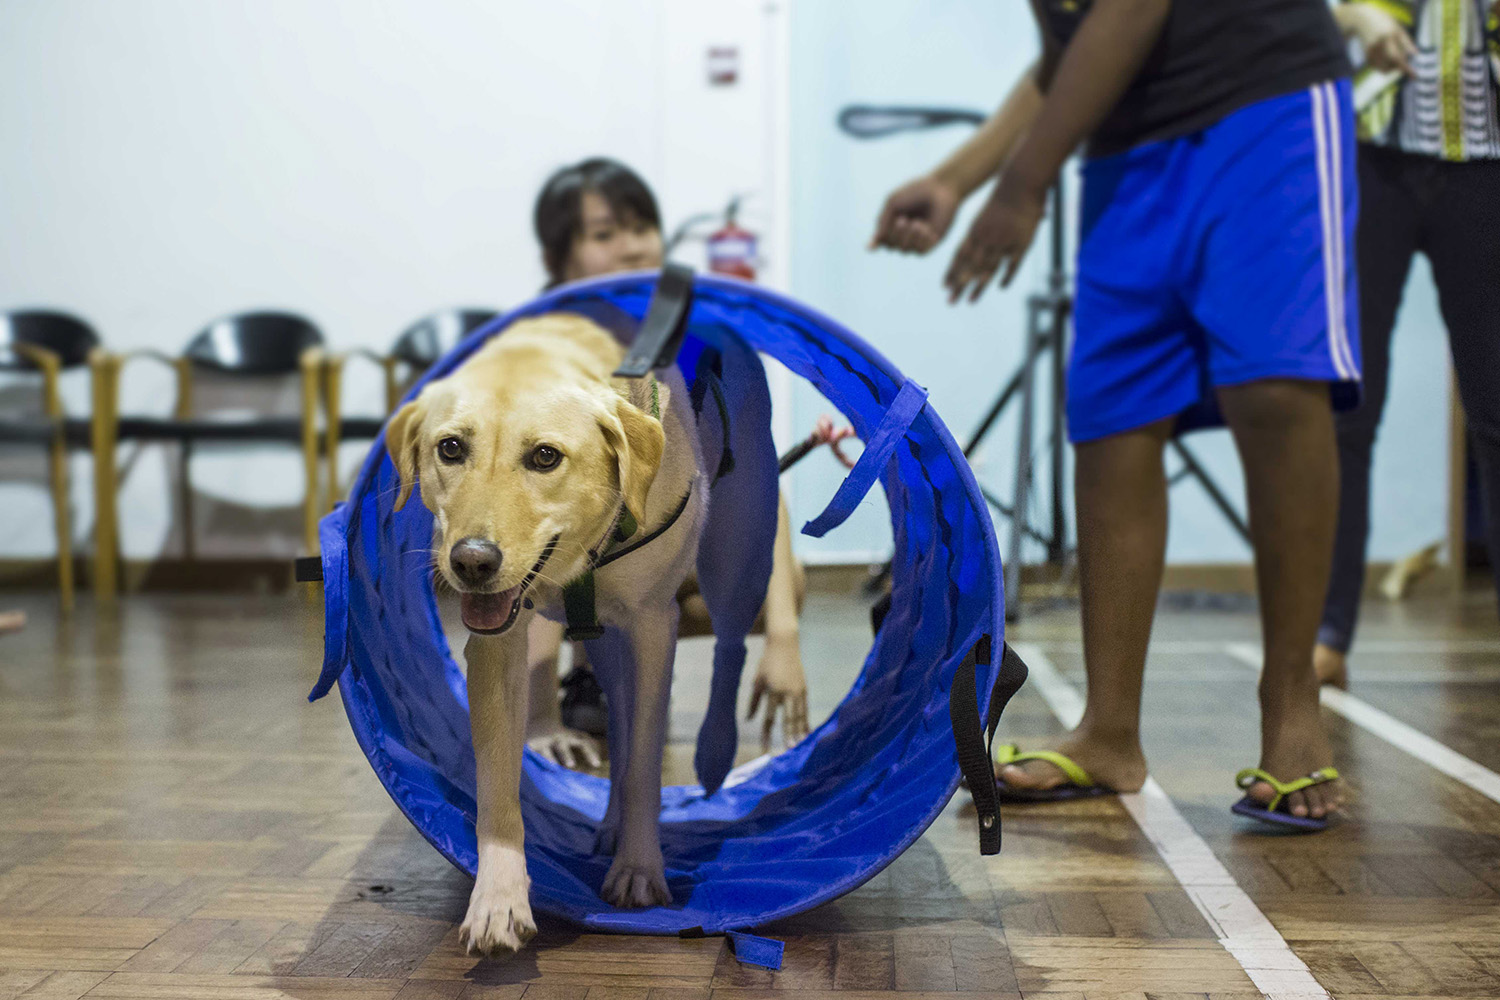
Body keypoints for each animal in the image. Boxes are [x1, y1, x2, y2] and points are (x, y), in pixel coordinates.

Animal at [384, 313, 705, 953]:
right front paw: (498, 898)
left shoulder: (654, 628)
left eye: (545, 457)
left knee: (629, 739)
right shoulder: (499, 644)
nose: (472, 561)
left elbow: (643, 765)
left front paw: (639, 868)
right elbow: (498, 781)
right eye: (450, 448)